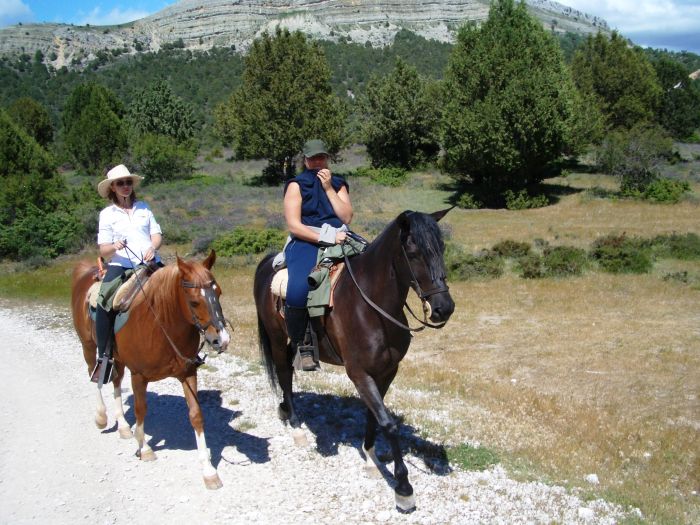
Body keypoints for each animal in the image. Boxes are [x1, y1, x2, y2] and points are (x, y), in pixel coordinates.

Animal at [70, 250, 230, 488]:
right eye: (193, 302)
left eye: (218, 292)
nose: (221, 340)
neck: (161, 324)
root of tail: (85, 271)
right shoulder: (139, 375)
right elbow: (140, 409)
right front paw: (144, 448)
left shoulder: (188, 374)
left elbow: (196, 415)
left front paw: (209, 471)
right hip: (88, 346)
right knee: (95, 376)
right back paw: (101, 418)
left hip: (117, 358)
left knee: (116, 381)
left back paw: (123, 426)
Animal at [254, 210, 456, 512]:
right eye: (413, 252)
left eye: (441, 248)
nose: (444, 308)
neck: (372, 306)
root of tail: (267, 263)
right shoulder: (359, 373)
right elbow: (389, 424)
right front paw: (403, 488)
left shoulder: (387, 371)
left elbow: (375, 415)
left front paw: (370, 455)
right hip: (277, 339)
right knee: (284, 374)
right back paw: (296, 427)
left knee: (288, 368)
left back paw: (285, 411)